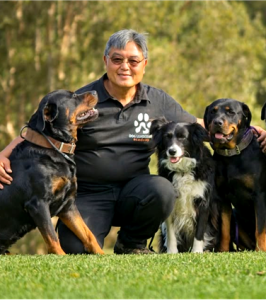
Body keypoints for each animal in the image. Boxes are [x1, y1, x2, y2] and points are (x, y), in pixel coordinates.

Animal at [0, 89, 104, 255]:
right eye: (73, 96)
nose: (94, 91)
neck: (54, 146)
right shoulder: (38, 203)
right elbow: (52, 238)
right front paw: (61, 257)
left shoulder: (68, 205)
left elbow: (88, 234)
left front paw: (101, 254)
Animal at [204, 98, 266, 251]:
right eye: (212, 112)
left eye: (231, 112)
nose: (217, 122)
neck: (231, 156)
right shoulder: (223, 197)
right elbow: (225, 229)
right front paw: (223, 251)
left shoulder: (259, 195)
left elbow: (260, 229)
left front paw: (261, 250)